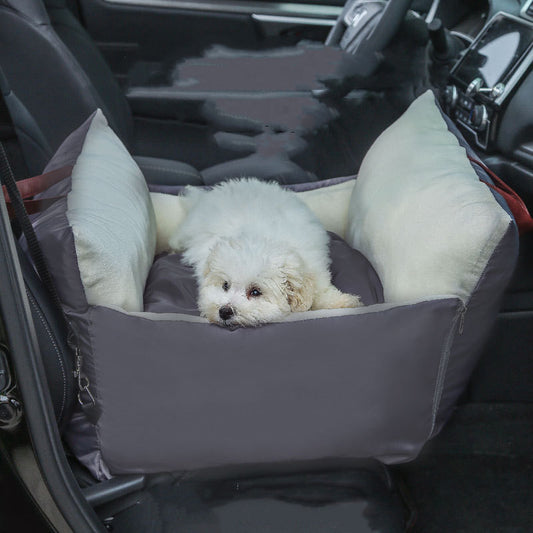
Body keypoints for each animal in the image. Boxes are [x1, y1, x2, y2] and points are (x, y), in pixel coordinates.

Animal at [170, 179, 362, 324]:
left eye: (255, 292)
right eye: (225, 285)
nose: (224, 311)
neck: (264, 237)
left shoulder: (315, 267)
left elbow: (322, 291)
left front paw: (344, 302)